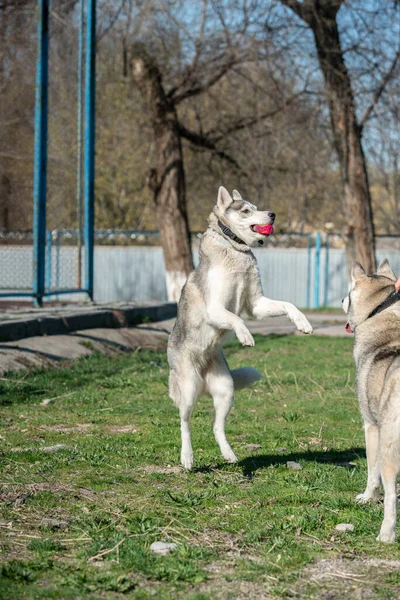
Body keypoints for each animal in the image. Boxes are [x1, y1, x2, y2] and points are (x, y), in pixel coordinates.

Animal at [167, 185, 314, 472]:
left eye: (257, 207)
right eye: (246, 210)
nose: (272, 214)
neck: (236, 249)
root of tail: (202, 377)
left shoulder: (256, 304)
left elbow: (287, 305)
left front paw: (302, 322)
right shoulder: (215, 309)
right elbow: (237, 319)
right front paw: (246, 336)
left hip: (226, 390)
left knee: (216, 426)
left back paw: (230, 455)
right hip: (188, 390)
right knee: (184, 423)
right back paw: (187, 457)